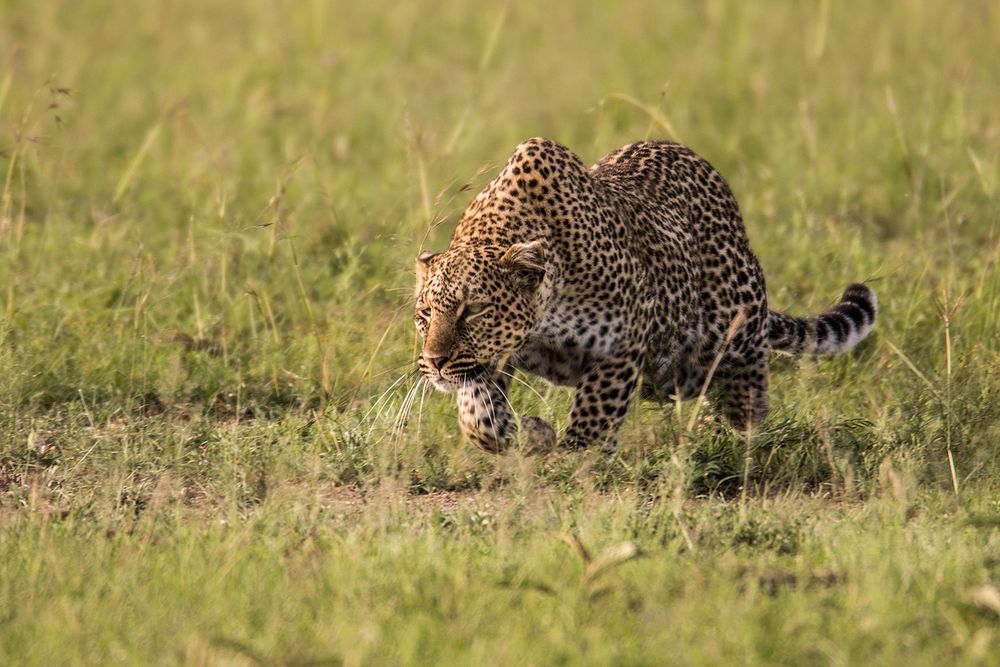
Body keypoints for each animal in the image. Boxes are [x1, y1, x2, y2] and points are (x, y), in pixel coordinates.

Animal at [410, 139, 880, 454]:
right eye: (425, 313)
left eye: (473, 310)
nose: (434, 361)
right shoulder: (494, 357)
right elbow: (478, 409)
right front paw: (517, 434)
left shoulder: (624, 340)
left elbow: (595, 411)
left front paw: (574, 457)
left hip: (730, 319)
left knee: (743, 375)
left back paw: (736, 424)